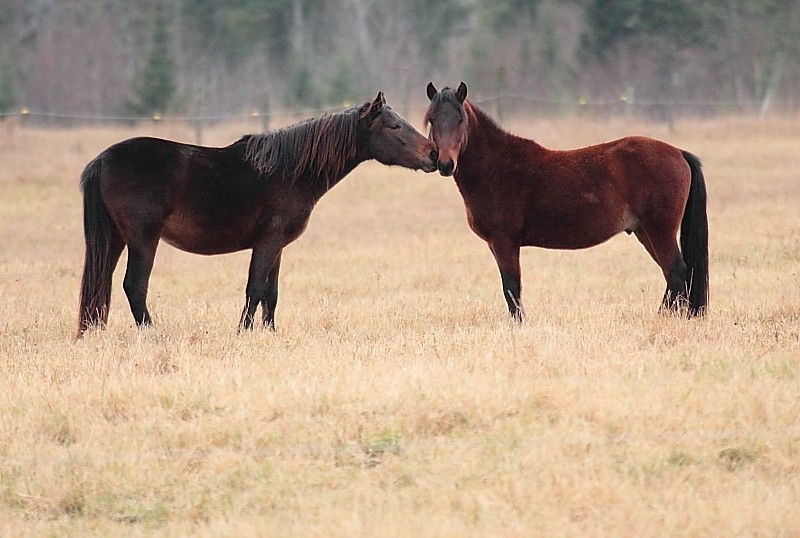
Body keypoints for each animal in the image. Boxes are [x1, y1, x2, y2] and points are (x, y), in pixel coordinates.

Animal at [76, 92, 438, 336]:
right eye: (393, 126)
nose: (434, 155)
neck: (289, 170)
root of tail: (102, 161)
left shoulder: (277, 246)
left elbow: (271, 293)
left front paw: (270, 332)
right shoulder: (268, 241)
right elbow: (255, 288)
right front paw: (244, 332)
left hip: (115, 239)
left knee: (102, 282)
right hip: (143, 239)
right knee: (134, 285)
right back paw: (153, 334)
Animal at [422, 81, 708, 320]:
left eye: (460, 119)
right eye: (432, 120)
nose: (445, 164)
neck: (497, 166)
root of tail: (678, 153)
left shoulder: (504, 241)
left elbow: (511, 288)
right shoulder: (497, 244)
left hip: (659, 231)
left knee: (676, 271)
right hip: (644, 232)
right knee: (673, 275)